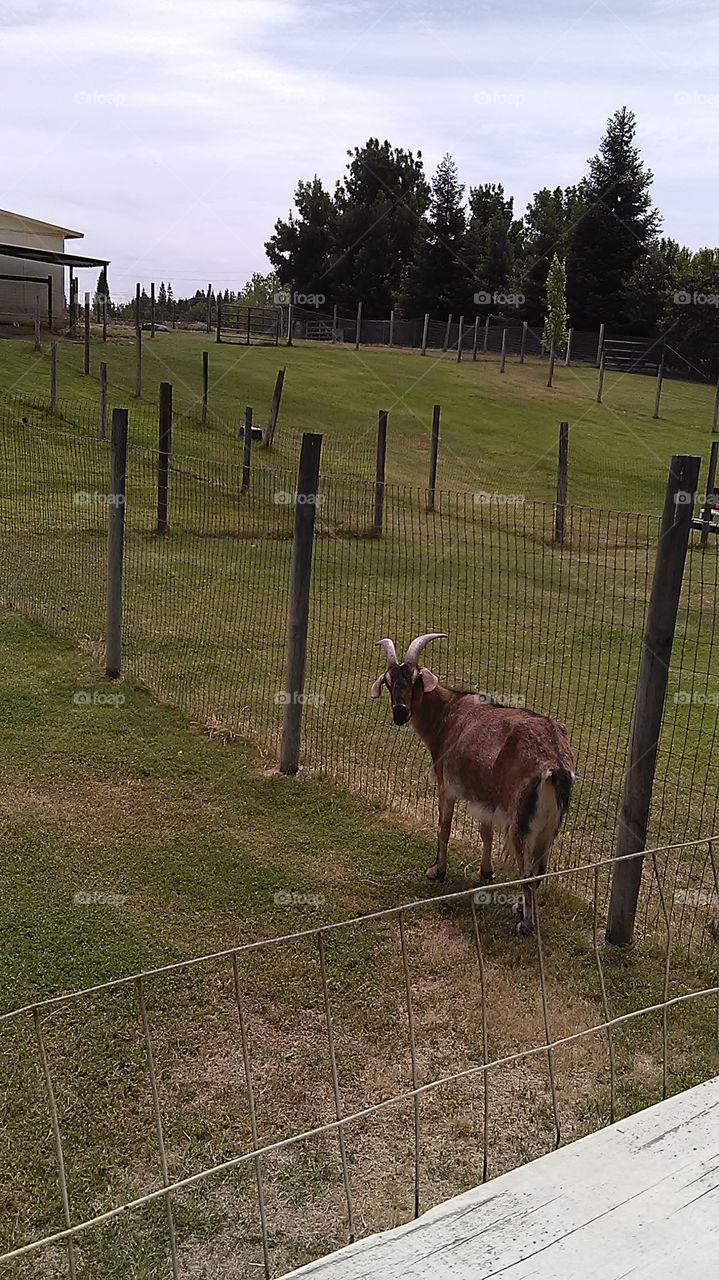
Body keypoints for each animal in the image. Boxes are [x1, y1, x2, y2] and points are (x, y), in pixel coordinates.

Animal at [370, 633, 575, 935]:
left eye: (415, 677)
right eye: (387, 680)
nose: (400, 713)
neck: (448, 712)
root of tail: (555, 767)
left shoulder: (446, 785)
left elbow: (444, 827)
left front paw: (436, 870)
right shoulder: (485, 795)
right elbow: (485, 832)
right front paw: (486, 871)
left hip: (520, 822)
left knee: (528, 875)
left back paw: (525, 924)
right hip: (549, 826)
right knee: (539, 872)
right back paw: (519, 907)